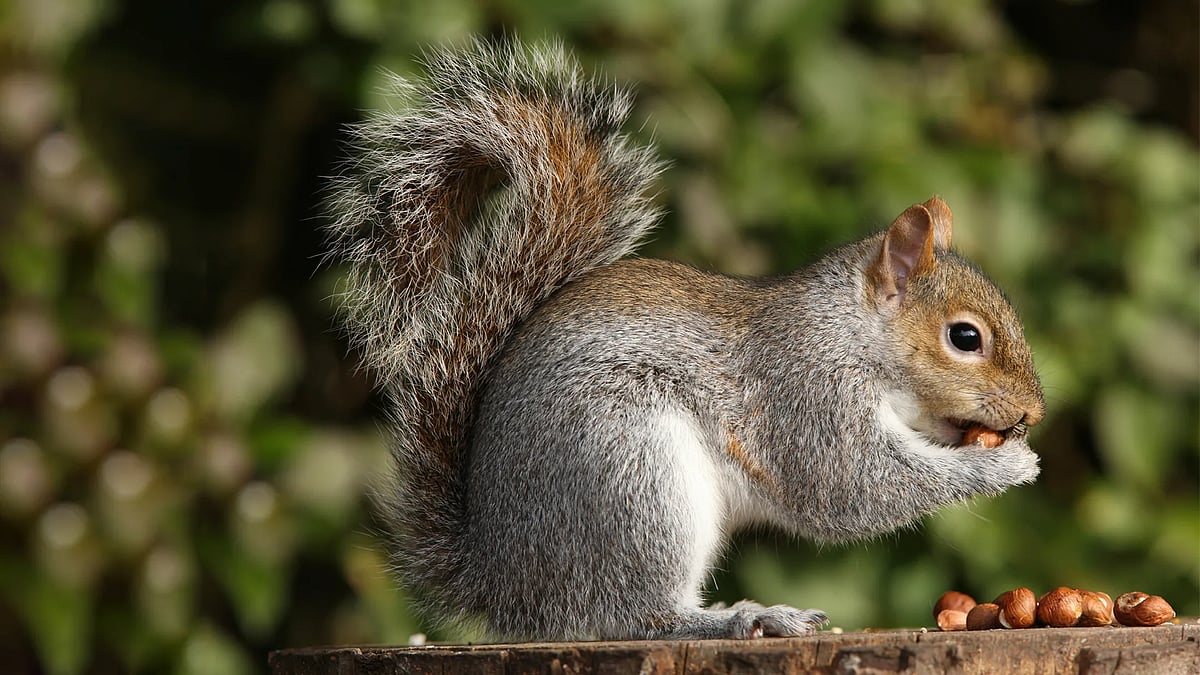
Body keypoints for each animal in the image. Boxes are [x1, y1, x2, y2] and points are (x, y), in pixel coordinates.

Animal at [325, 40, 1046, 641]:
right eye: (965, 337)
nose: (1034, 412)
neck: (850, 333)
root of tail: (505, 586)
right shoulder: (807, 396)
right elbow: (851, 488)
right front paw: (1005, 465)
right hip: (633, 475)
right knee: (635, 616)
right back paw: (743, 618)